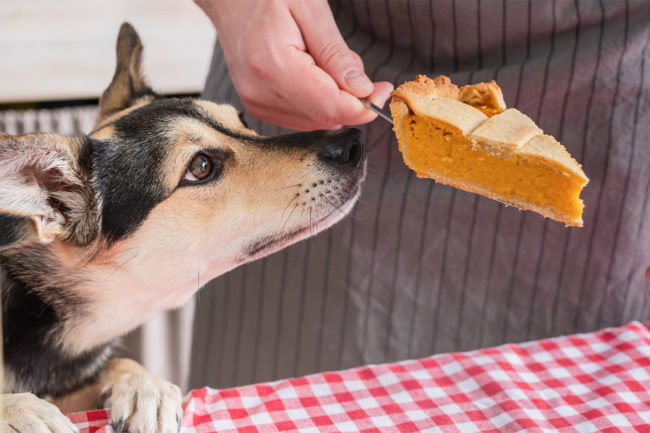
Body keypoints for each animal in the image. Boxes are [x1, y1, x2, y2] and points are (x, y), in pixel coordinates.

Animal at [0, 23, 364, 432]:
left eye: (243, 122)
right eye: (201, 167)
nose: (353, 143)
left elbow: (118, 363)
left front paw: (144, 384)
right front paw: (20, 409)